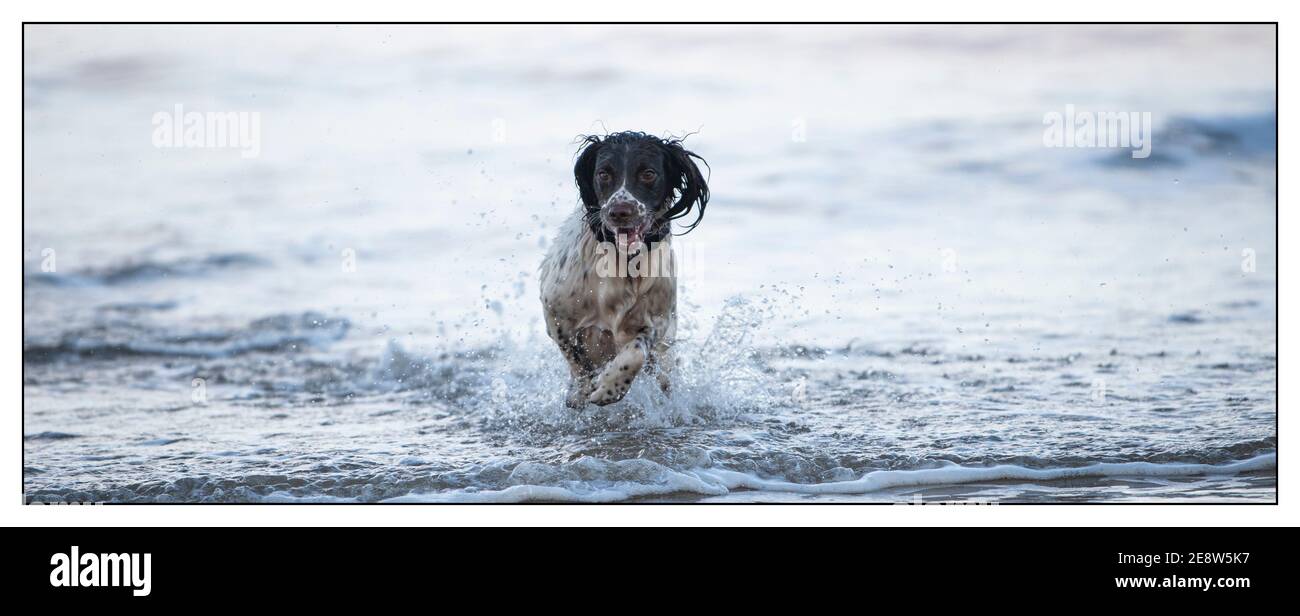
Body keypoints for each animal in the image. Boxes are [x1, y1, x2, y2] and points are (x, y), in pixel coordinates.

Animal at [538, 132, 712, 405]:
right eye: (603, 173)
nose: (619, 211)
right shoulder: (555, 312)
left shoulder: (658, 323)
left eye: (648, 173)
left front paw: (610, 387)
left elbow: (637, 351)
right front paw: (582, 390)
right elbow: (576, 361)